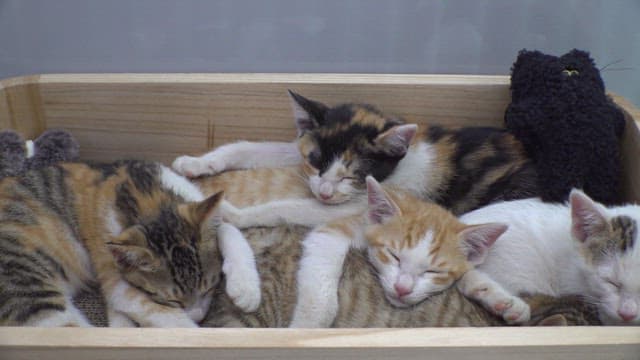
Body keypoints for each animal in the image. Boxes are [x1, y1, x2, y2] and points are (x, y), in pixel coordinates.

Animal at [0, 160, 260, 326]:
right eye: (172, 299)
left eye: (209, 287)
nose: (198, 317)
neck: (146, 196)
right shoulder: (113, 275)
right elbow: (159, 313)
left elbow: (230, 225)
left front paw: (245, 287)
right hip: (28, 293)